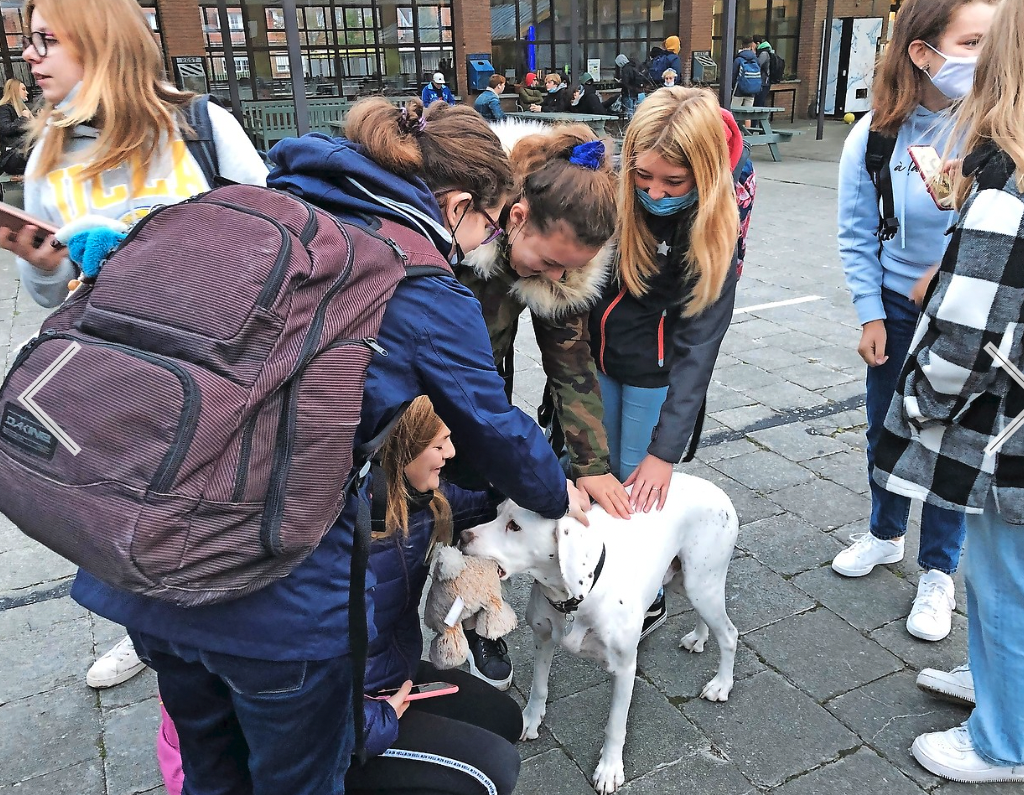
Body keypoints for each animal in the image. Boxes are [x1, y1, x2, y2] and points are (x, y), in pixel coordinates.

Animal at [462, 475, 737, 790]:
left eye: (515, 526)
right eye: (496, 513)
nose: (462, 536)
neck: (574, 595)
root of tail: (716, 489)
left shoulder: (625, 668)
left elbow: (615, 726)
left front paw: (609, 769)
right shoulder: (542, 638)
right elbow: (538, 687)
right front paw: (531, 719)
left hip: (702, 583)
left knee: (729, 634)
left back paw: (721, 685)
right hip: (685, 581)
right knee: (708, 619)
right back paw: (698, 638)